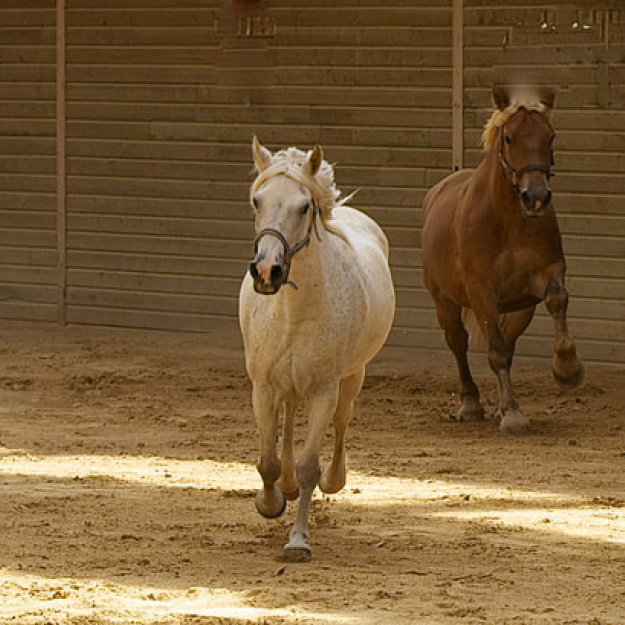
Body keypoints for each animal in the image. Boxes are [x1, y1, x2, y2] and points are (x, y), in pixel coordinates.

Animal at [239, 136, 394, 560]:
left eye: (304, 206)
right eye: (257, 201)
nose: (267, 271)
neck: (294, 312)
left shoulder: (325, 390)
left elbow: (311, 464)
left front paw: (298, 540)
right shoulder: (263, 388)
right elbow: (269, 461)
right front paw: (270, 503)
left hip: (352, 377)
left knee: (341, 422)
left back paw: (333, 478)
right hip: (288, 386)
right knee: (290, 417)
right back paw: (287, 487)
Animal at [422, 84, 584, 434]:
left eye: (550, 136)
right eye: (509, 138)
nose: (535, 197)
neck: (509, 219)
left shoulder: (543, 277)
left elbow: (557, 300)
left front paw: (568, 369)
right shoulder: (481, 290)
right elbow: (495, 352)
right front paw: (512, 415)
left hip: (517, 308)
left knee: (508, 341)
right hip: (445, 301)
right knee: (458, 342)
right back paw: (470, 403)